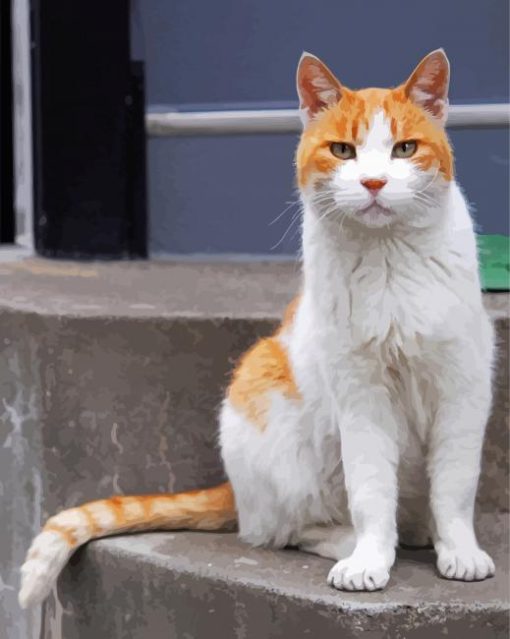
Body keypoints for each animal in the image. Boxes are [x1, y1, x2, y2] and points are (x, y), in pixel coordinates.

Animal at [18, 47, 494, 608]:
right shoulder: (361, 395)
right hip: (264, 390)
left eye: (404, 148)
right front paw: (371, 559)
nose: (374, 182)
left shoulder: (463, 388)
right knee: (283, 529)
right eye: (343, 150)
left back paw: (421, 533)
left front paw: (459, 552)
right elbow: (372, 489)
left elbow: (454, 487)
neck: (390, 260)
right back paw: (354, 541)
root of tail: (234, 486)